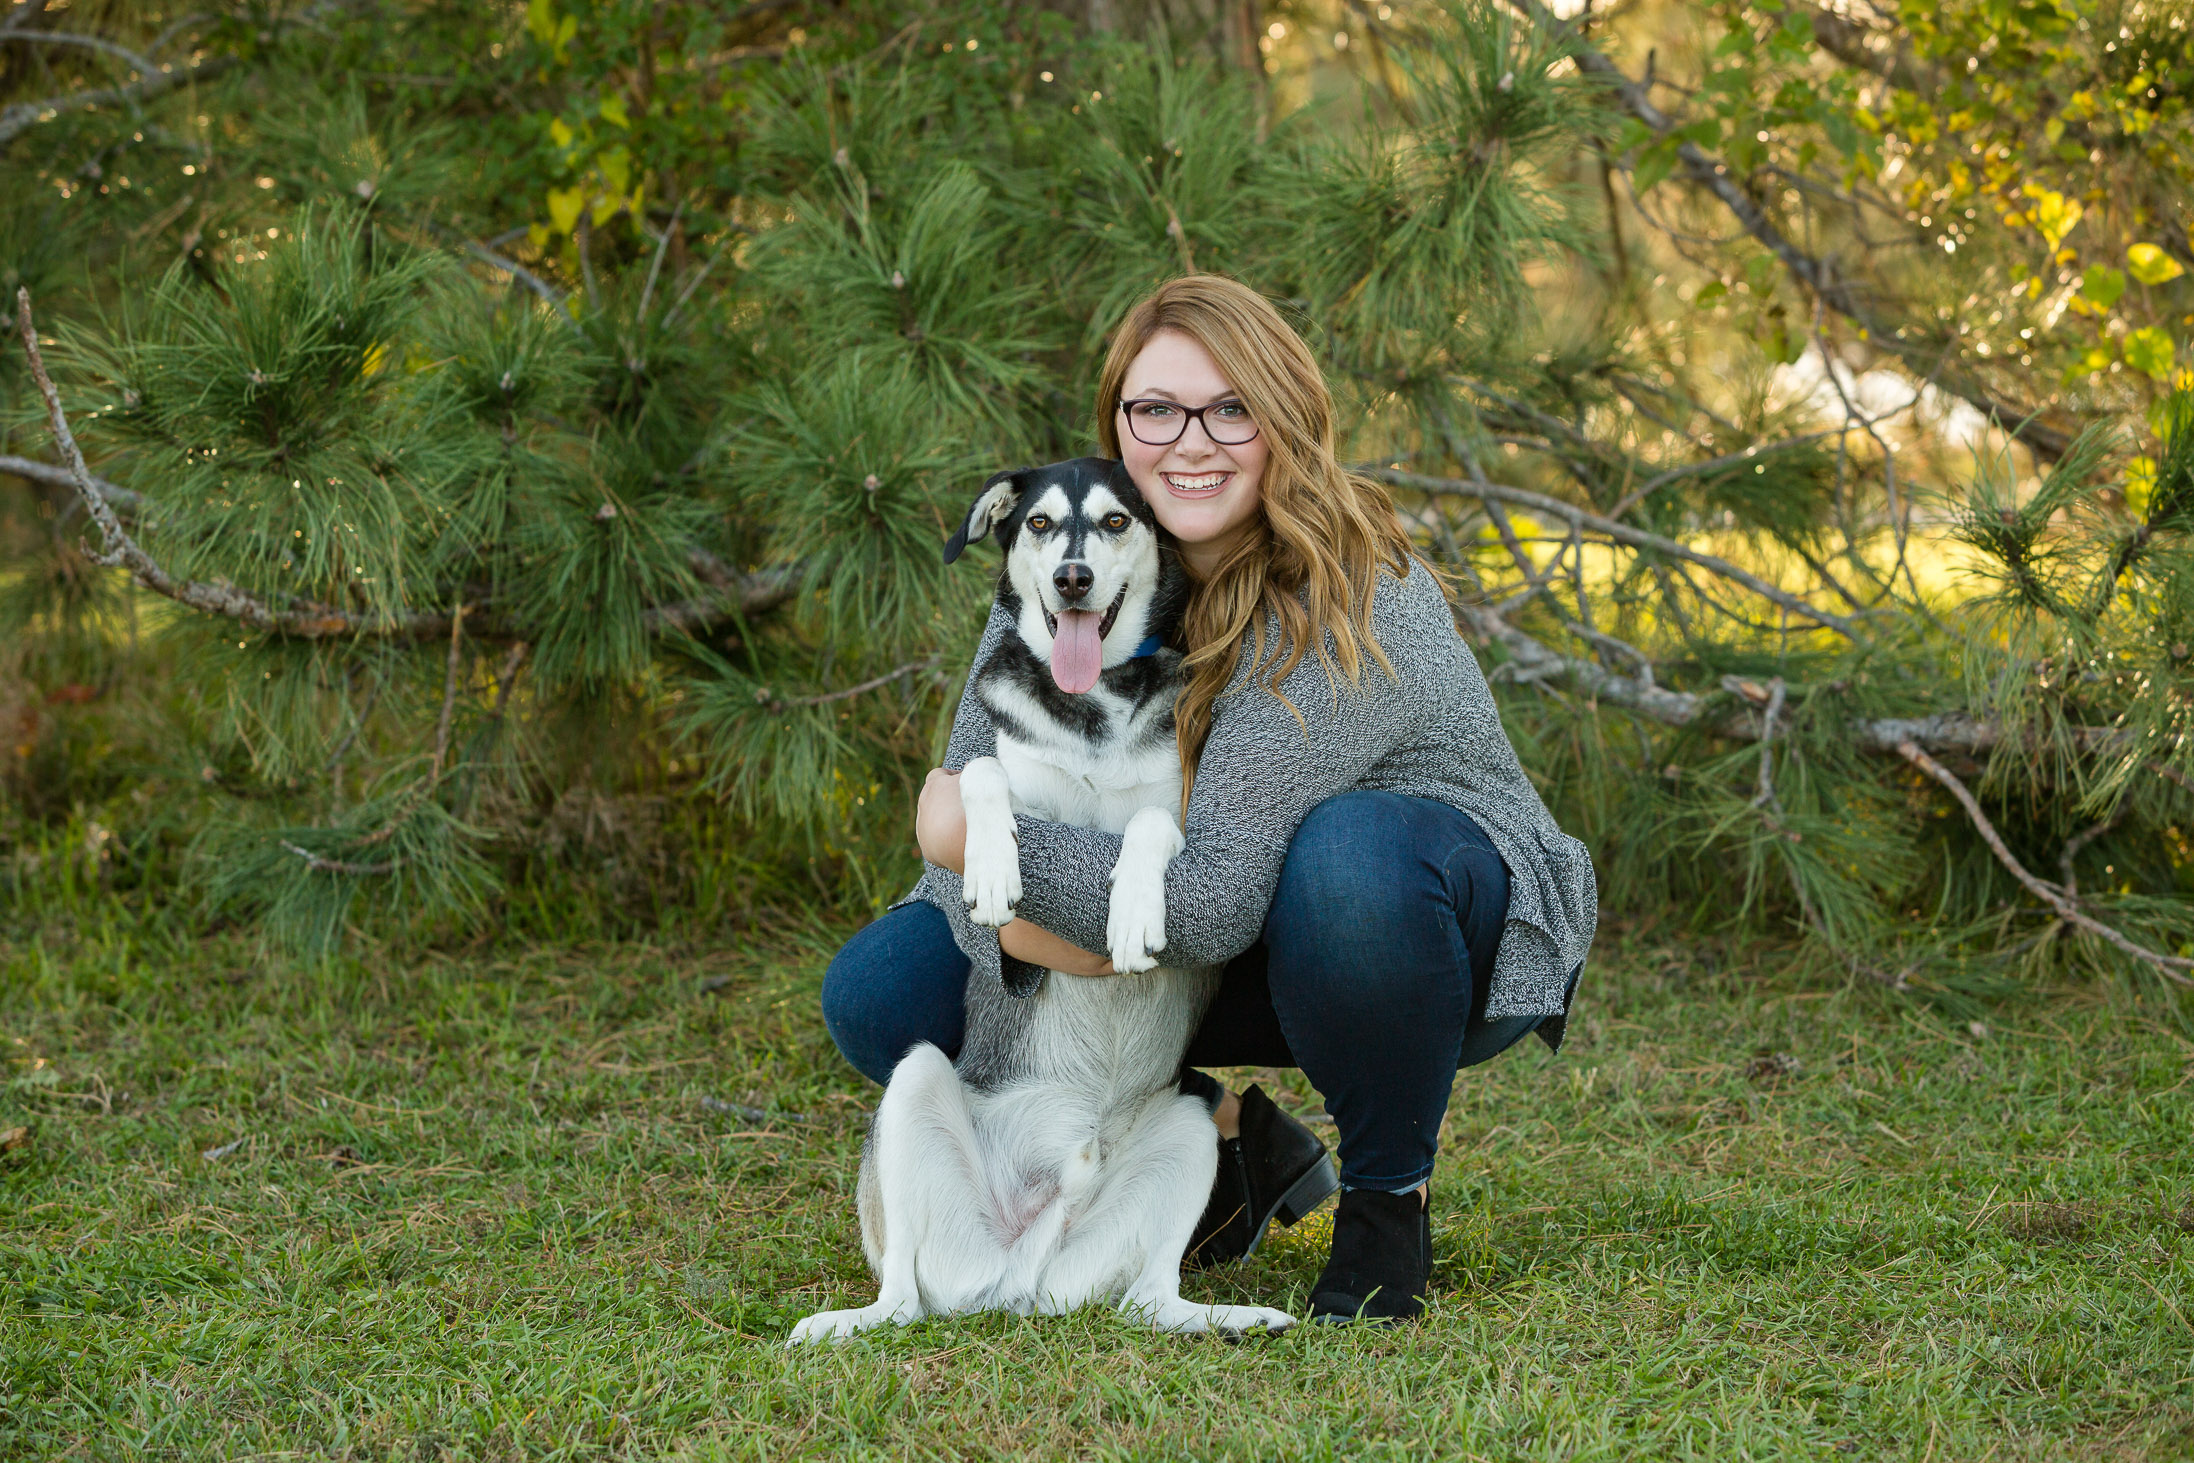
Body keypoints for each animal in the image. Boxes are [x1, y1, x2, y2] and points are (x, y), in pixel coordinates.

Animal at [789, 458, 1290, 1351]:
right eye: (1040, 524)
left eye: (1117, 520)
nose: (1073, 577)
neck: (1091, 703)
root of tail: (1023, 1266)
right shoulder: (993, 779)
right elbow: (984, 776)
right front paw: (991, 868)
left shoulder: (1193, 826)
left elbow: (1151, 824)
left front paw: (1132, 914)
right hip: (917, 1088)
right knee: (903, 1297)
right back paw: (844, 1320)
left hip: (1188, 1125)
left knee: (1149, 1299)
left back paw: (1239, 1316)